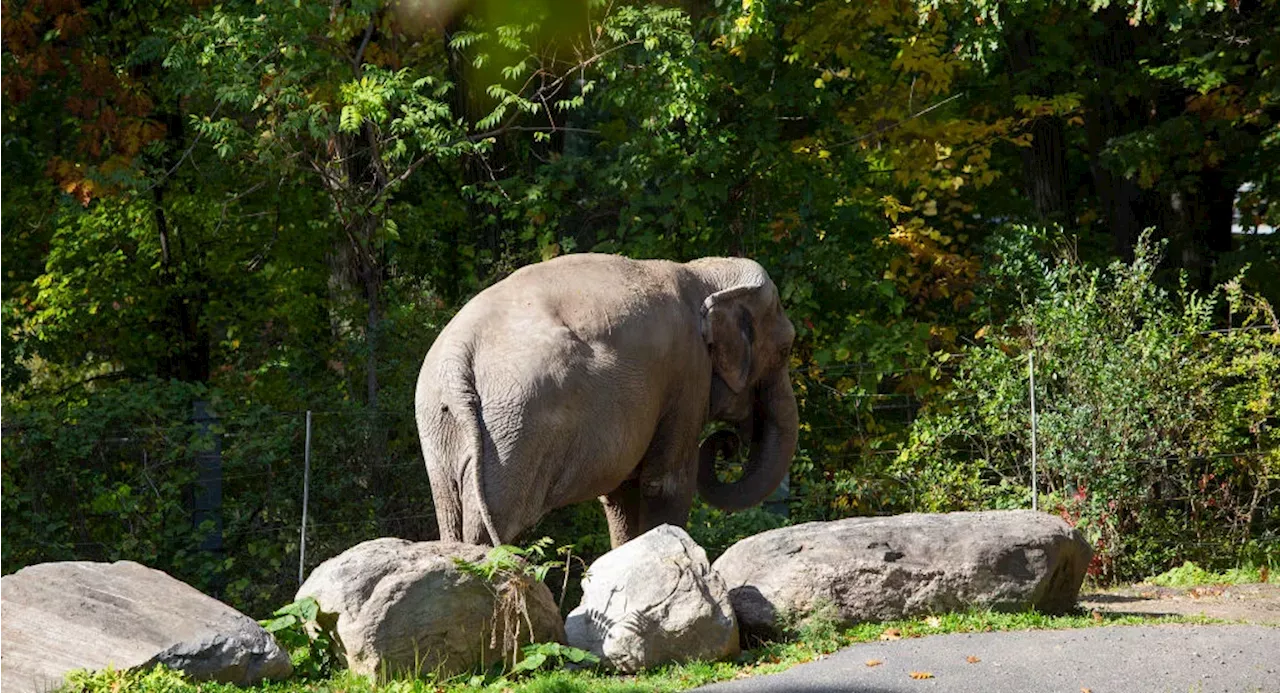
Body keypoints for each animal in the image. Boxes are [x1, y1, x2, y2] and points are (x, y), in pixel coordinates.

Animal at [414, 251, 793, 548]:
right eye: (786, 350)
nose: (728, 443)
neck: (704, 273)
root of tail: (456, 357)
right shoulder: (687, 372)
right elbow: (665, 484)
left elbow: (621, 495)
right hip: (513, 431)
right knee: (496, 520)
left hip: (442, 427)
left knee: (450, 512)